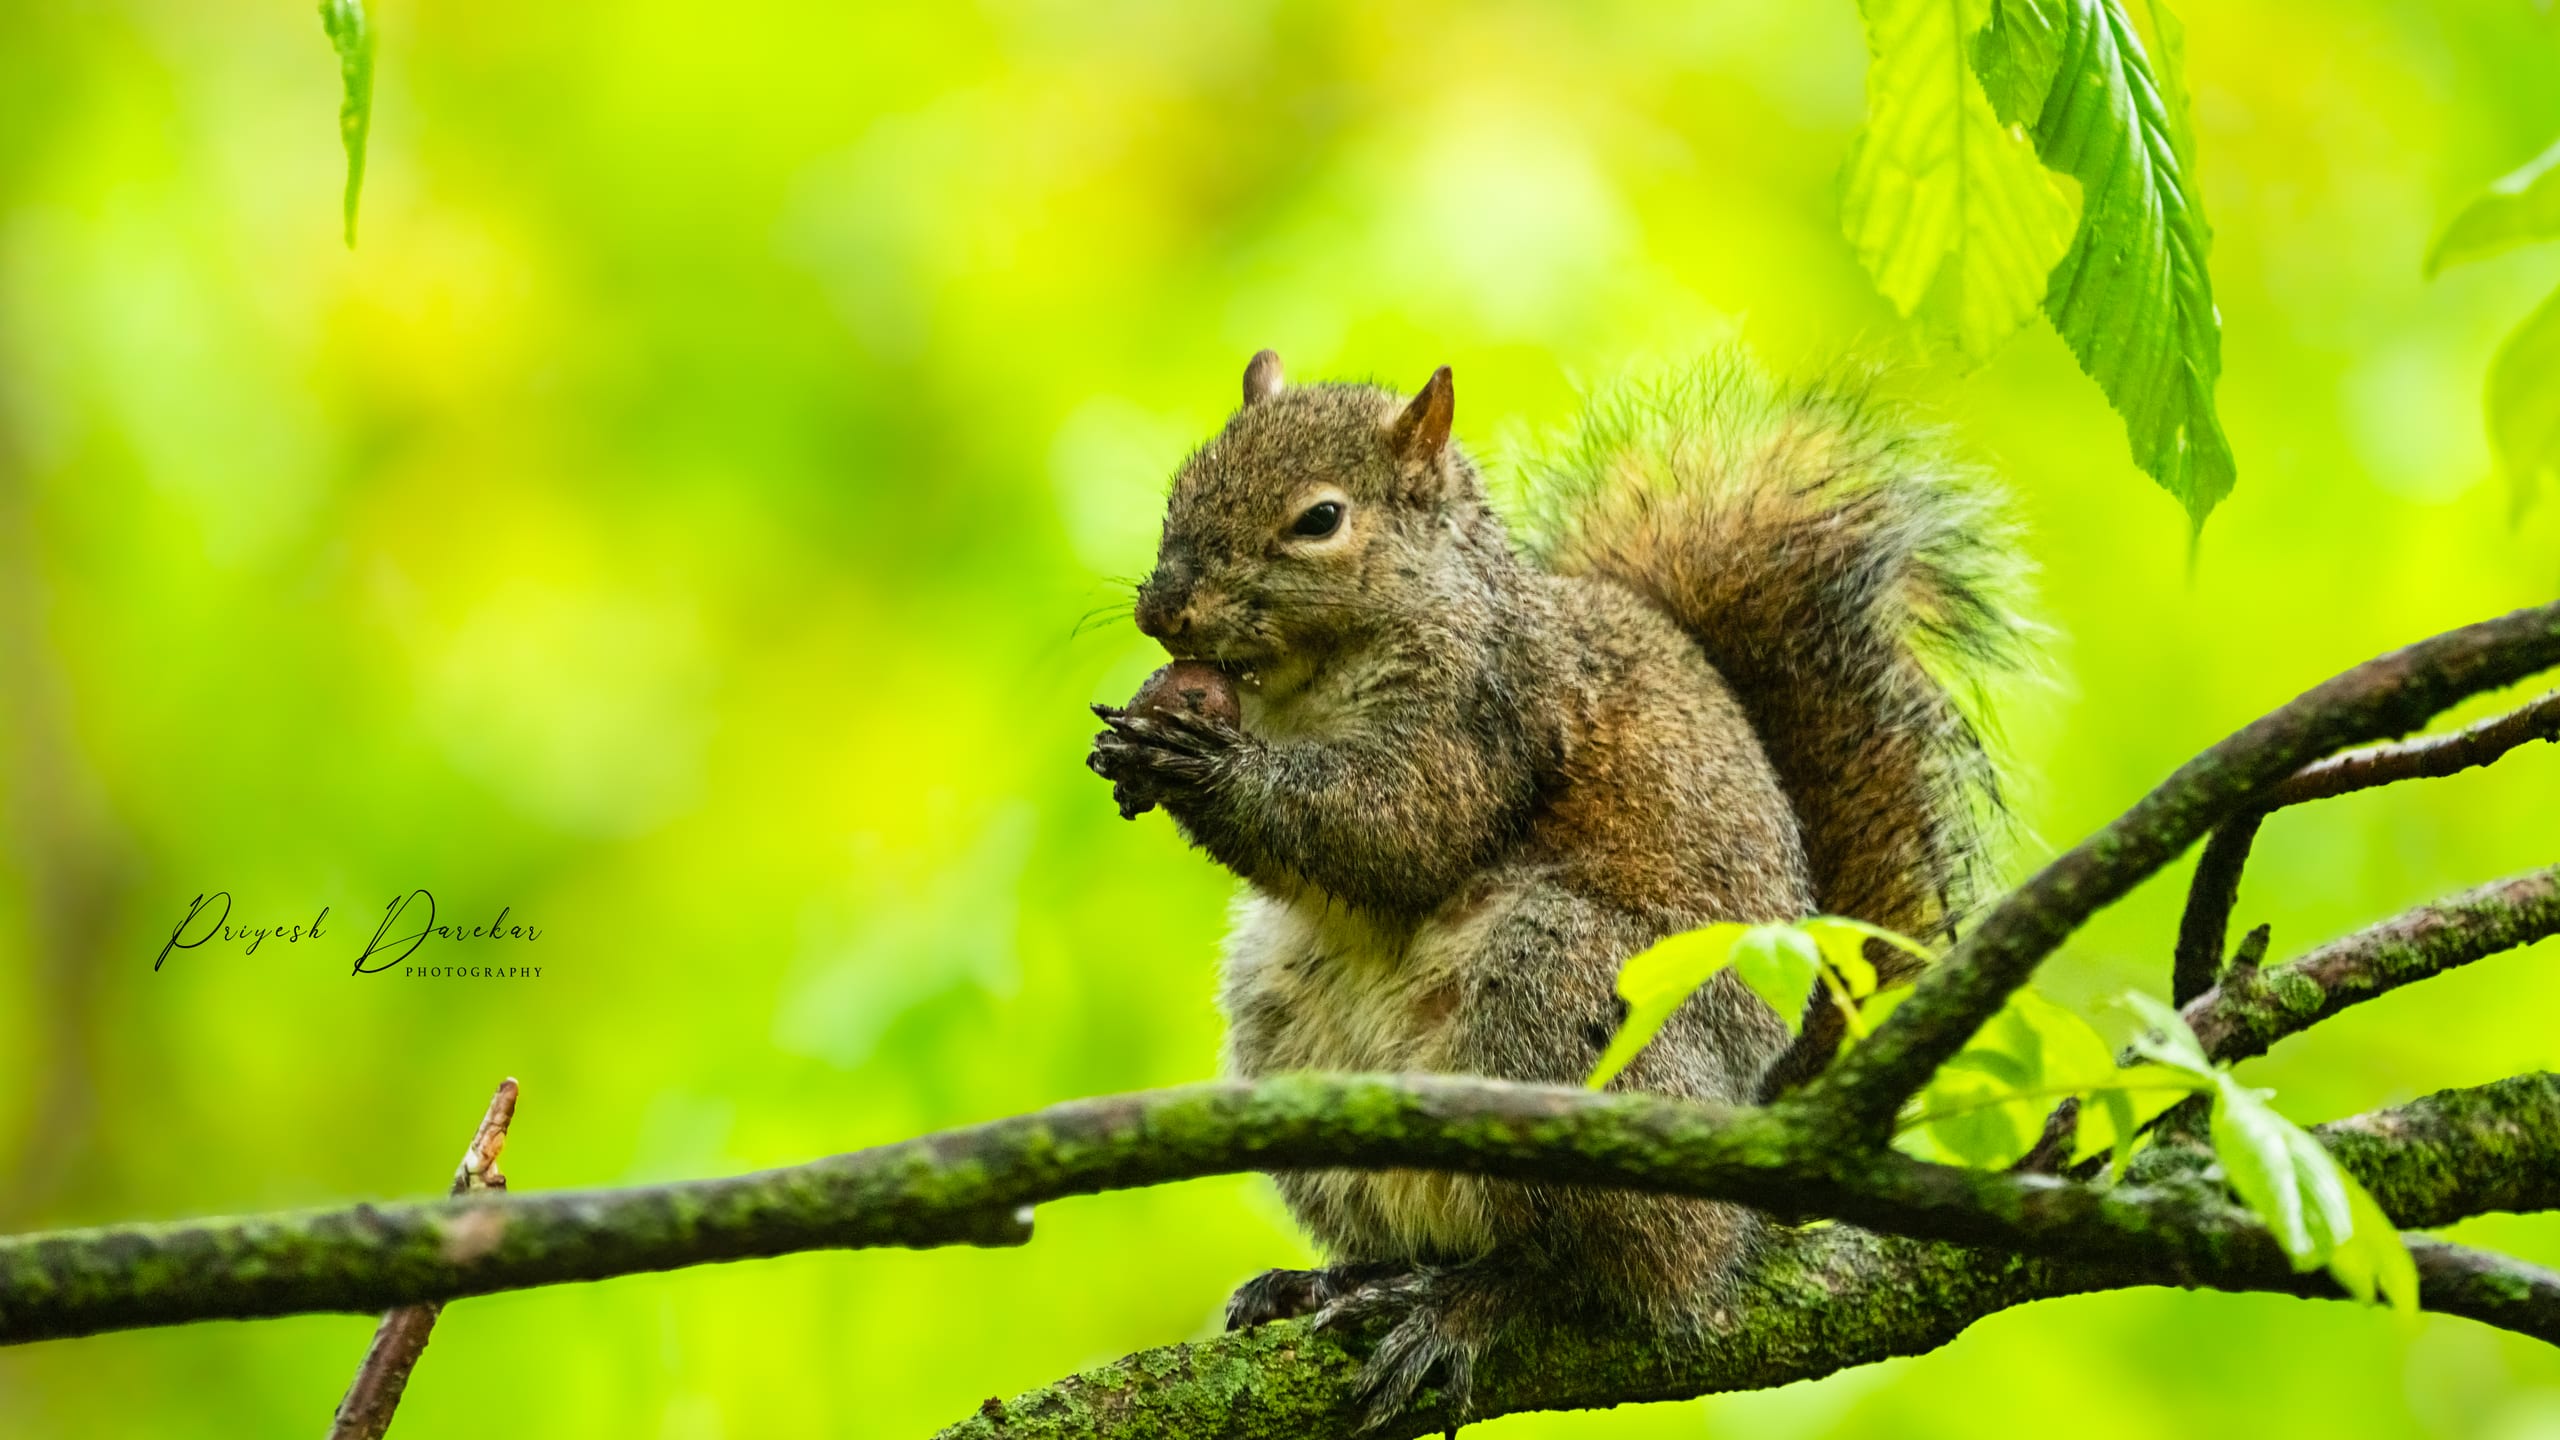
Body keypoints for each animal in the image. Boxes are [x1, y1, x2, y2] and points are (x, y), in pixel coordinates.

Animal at [1087, 347, 2026, 1429]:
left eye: (1320, 519)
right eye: (1184, 483)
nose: (1163, 612)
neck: (1309, 681)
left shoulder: (1493, 717)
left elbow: (1398, 832)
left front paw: (1199, 762)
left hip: (1561, 989)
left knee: (1607, 1272)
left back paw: (1475, 1302)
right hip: (1288, 1029)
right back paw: (1339, 1278)